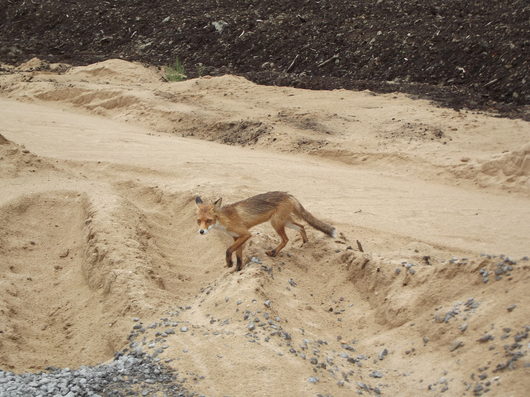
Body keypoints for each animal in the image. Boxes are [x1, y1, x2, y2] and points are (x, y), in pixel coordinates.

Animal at [194, 191, 334, 270]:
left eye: (209, 221)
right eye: (198, 221)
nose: (201, 232)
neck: (225, 219)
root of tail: (288, 195)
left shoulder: (245, 234)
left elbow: (228, 250)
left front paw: (229, 263)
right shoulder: (236, 237)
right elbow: (238, 256)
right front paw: (238, 269)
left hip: (276, 223)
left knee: (286, 239)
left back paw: (273, 253)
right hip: (286, 222)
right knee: (301, 226)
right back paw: (305, 244)